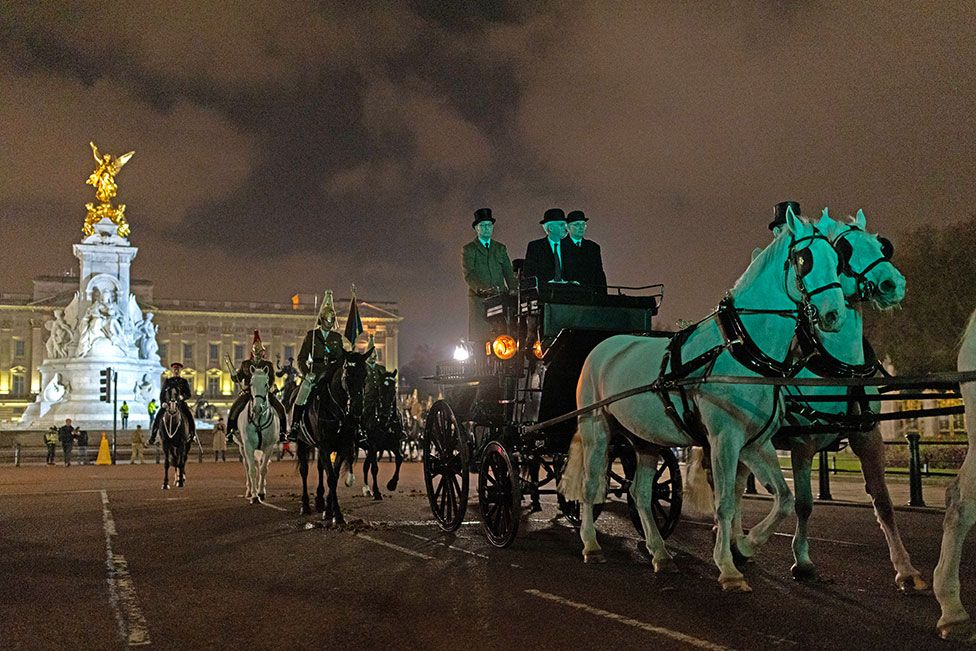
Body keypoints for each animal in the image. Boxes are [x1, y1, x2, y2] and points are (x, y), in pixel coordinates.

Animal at [235, 366, 278, 504]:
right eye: (251, 384)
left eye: (266, 384)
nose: (257, 408)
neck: (258, 419)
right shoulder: (248, 446)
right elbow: (252, 470)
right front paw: (254, 496)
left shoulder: (269, 447)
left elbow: (263, 469)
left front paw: (261, 492)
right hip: (242, 447)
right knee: (247, 466)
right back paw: (249, 491)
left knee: (260, 465)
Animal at [296, 346, 372, 524]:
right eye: (347, 374)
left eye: (365, 375)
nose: (357, 409)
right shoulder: (324, 445)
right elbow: (330, 477)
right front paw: (336, 513)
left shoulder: (342, 446)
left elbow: (334, 476)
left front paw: (330, 510)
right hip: (302, 442)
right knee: (304, 470)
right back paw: (305, 505)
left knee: (320, 468)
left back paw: (319, 501)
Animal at [358, 370, 404, 502]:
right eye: (379, 388)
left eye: (394, 389)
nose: (384, 416)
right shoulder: (373, 445)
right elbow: (375, 469)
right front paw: (377, 492)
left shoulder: (395, 443)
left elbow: (400, 458)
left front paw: (392, 484)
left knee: (365, 466)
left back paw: (367, 490)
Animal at [564, 208, 848, 592]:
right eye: (804, 259)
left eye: (837, 259)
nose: (835, 316)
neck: (741, 352)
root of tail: (602, 346)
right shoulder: (724, 439)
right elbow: (724, 502)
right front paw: (728, 567)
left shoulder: (755, 443)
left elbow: (785, 499)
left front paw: (746, 543)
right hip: (597, 430)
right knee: (592, 485)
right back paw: (591, 544)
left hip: (644, 440)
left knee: (640, 494)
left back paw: (659, 552)